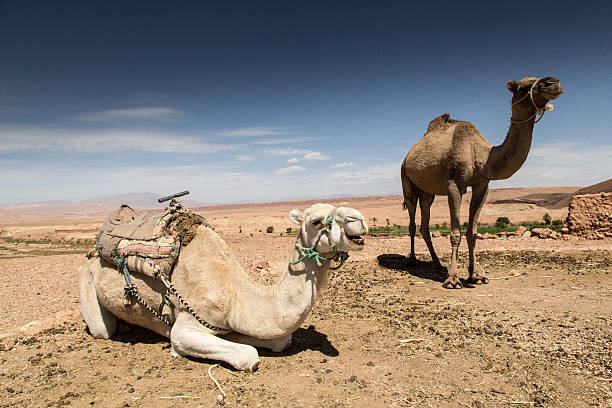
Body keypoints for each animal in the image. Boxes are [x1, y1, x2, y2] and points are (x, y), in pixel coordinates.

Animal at [80, 202, 368, 372]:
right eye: (316, 221)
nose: (359, 219)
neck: (235, 292)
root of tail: (93, 254)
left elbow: (280, 341)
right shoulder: (186, 327)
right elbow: (248, 355)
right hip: (87, 282)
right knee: (102, 330)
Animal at [402, 75, 564, 286]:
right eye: (523, 86)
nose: (553, 83)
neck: (481, 155)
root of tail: (407, 155)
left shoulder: (482, 185)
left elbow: (472, 232)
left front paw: (476, 275)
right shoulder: (454, 185)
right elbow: (455, 234)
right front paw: (453, 279)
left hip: (427, 192)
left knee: (425, 224)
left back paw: (437, 263)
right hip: (407, 180)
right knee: (412, 222)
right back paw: (413, 260)